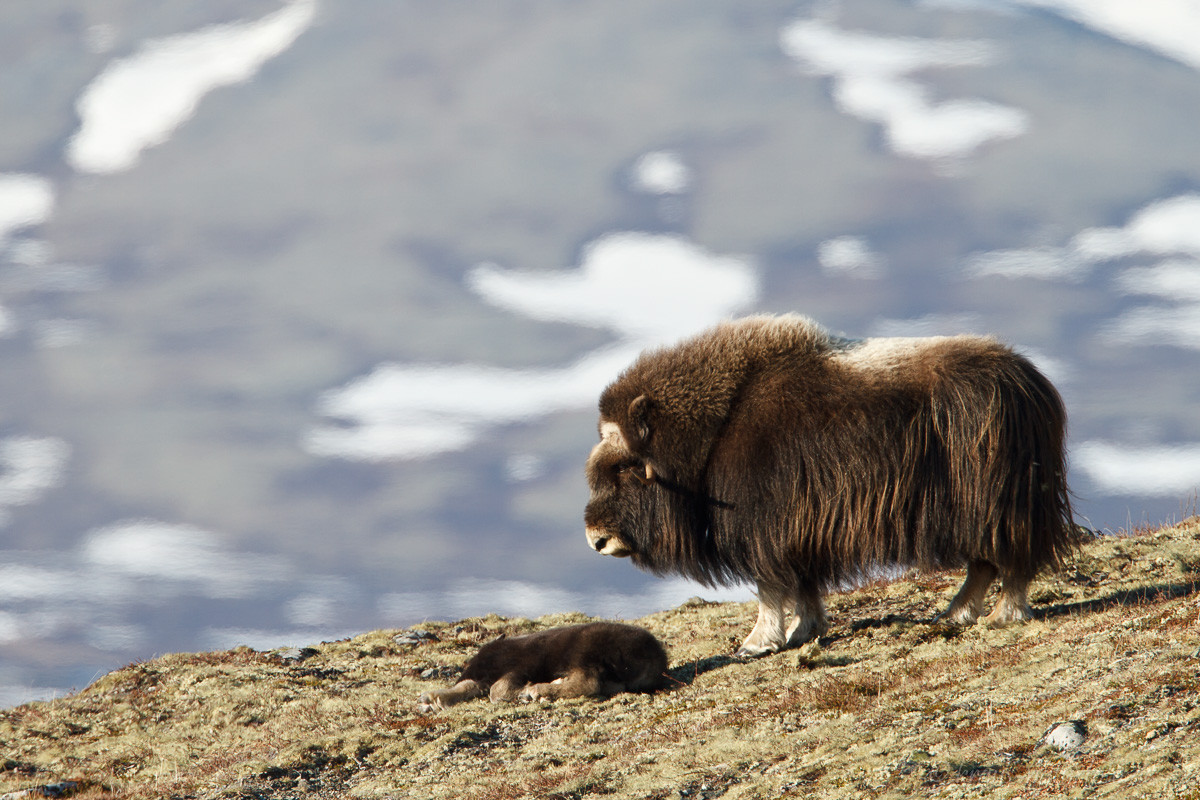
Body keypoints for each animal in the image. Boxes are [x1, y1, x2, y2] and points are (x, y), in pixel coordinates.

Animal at [417, 618, 672, 714]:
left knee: (589, 682)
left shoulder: (523, 666)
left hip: (585, 651)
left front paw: (522, 692)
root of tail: (656, 659)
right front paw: (432, 699)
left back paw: (536, 691)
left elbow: (496, 690)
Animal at [583, 316, 1080, 662]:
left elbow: (769, 590)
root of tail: (1031, 384)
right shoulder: (800, 531)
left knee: (1009, 561)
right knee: (983, 565)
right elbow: (802, 587)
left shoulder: (766, 530)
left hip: (997, 506)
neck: (712, 432)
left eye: (624, 467)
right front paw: (804, 630)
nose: (596, 540)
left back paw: (1000, 615)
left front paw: (756, 643)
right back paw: (954, 613)